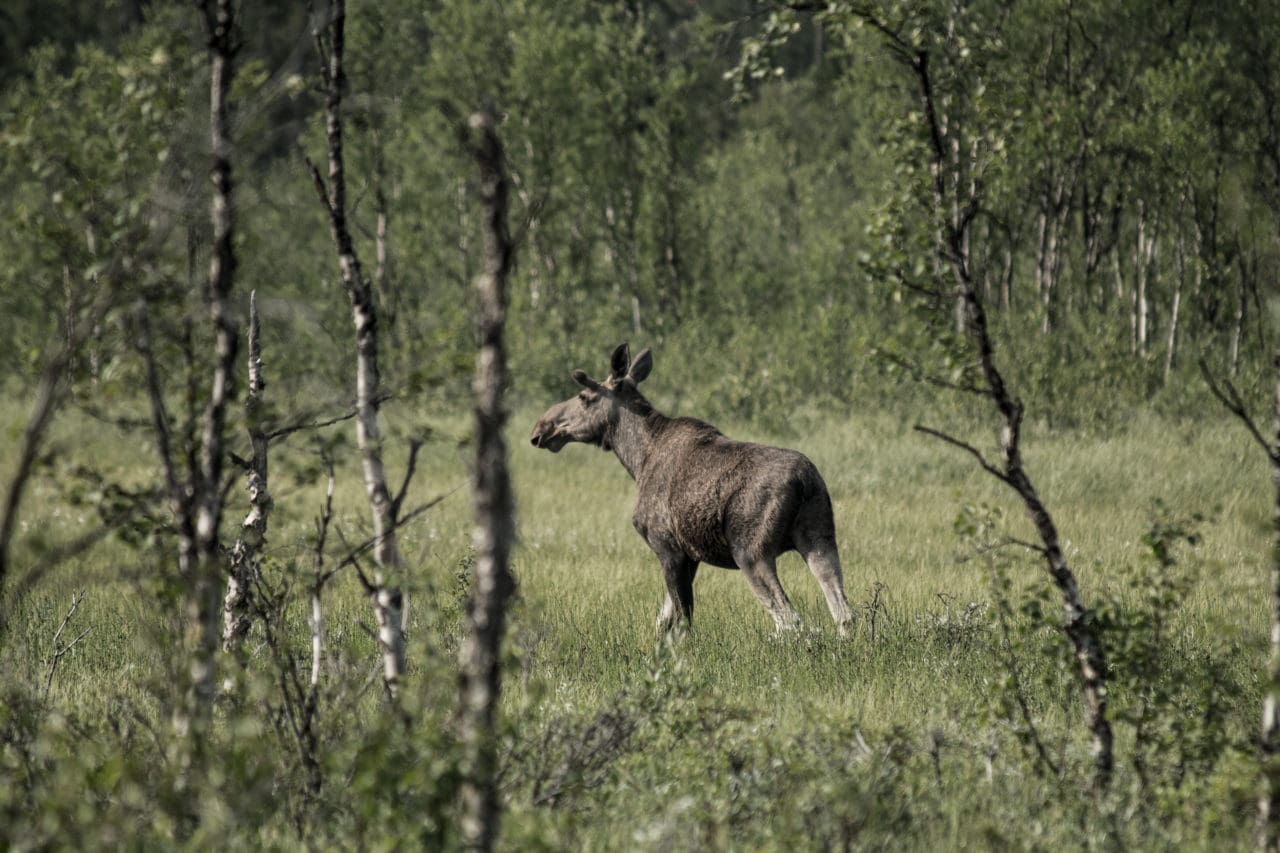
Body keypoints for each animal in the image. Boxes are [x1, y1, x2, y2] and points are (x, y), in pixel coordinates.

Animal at [529, 343, 849, 630]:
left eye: (584, 396)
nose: (541, 428)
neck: (636, 460)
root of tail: (805, 481)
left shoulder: (667, 547)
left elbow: (681, 621)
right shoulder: (690, 556)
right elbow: (662, 621)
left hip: (752, 552)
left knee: (789, 619)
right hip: (819, 539)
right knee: (842, 611)